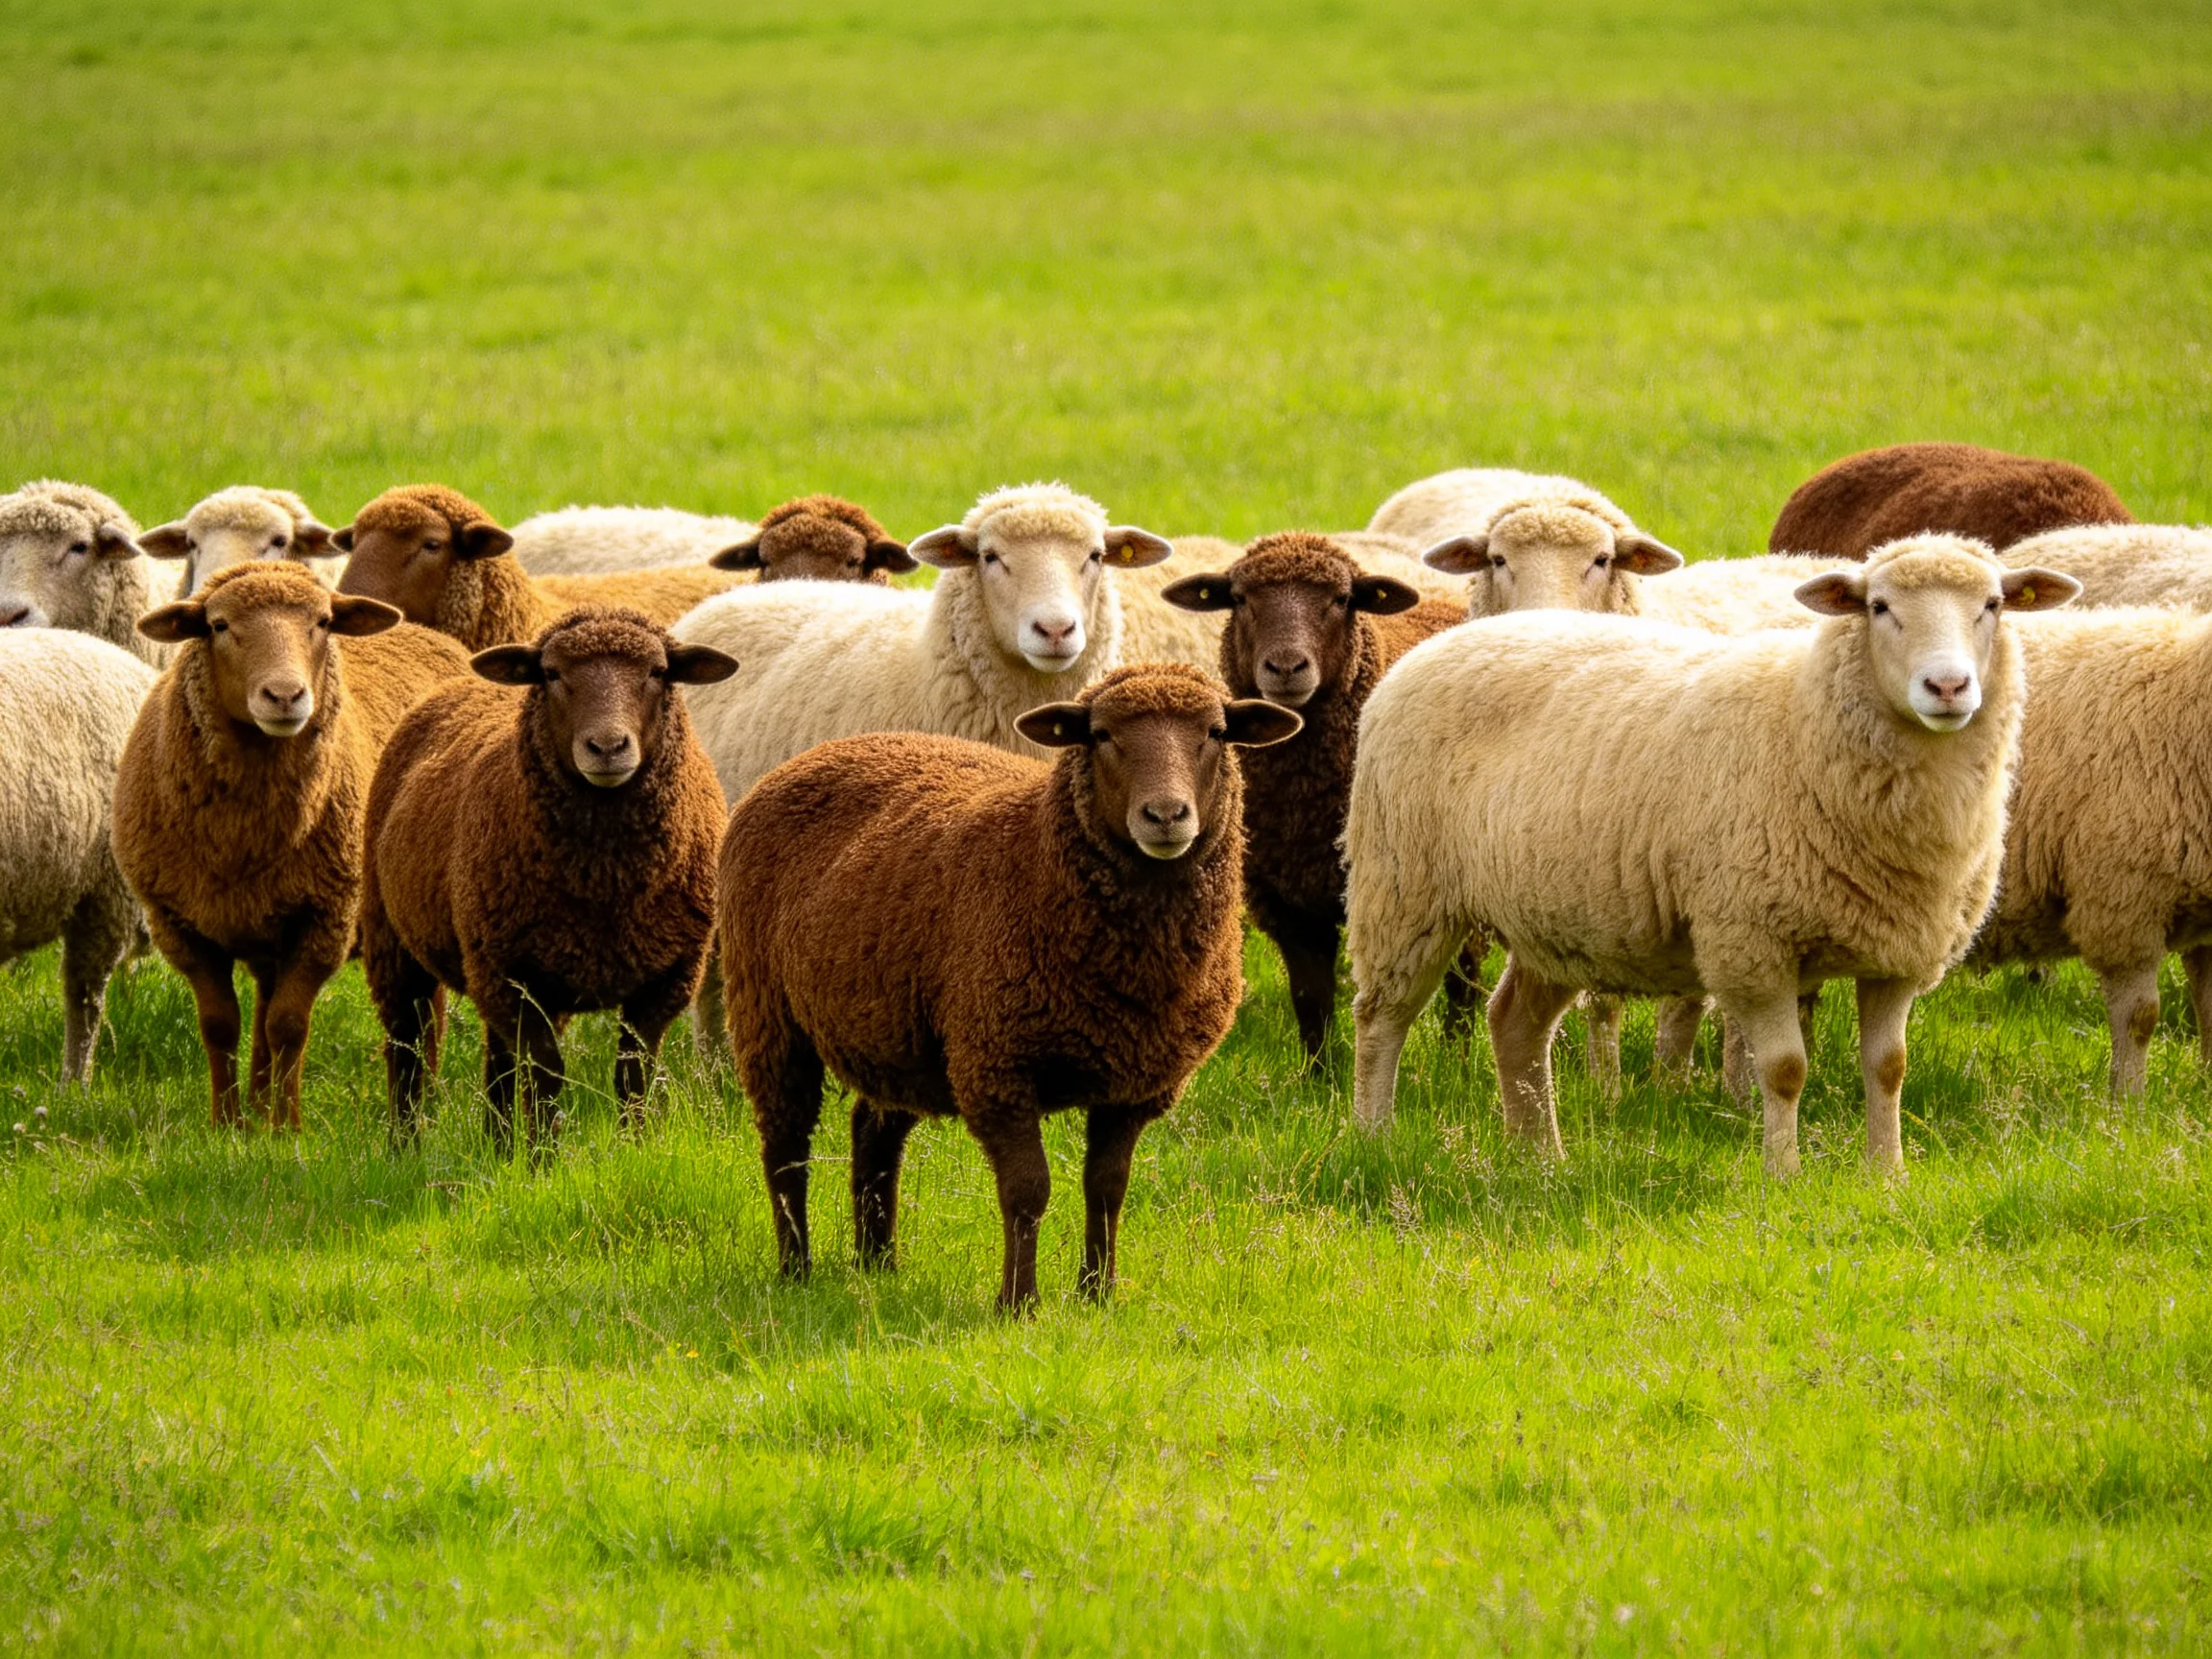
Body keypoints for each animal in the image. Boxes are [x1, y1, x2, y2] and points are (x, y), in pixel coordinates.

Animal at [111, 564, 475, 1129]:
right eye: (218, 625)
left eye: (323, 622)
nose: (284, 696)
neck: (241, 834)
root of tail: (429, 634)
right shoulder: (179, 925)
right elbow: (220, 1024)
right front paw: (228, 1125)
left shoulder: (326, 918)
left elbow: (288, 1024)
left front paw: (285, 1129)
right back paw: (259, 1102)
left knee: (424, 1011)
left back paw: (426, 1100)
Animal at [361, 608, 734, 1158]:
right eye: (553, 674)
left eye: (658, 672)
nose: (607, 747)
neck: (606, 881)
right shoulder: (512, 973)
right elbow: (546, 1072)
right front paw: (542, 1161)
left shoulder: (667, 977)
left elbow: (633, 1074)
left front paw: (632, 1149)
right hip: (397, 940)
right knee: (407, 1047)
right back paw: (405, 1147)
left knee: (497, 1064)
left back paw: (497, 1147)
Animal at [718, 663, 1300, 1307]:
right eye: (1100, 735)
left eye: (1217, 733)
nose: (1167, 816)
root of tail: (812, 755)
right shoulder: (997, 1066)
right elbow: (1028, 1190)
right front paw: (1019, 1302)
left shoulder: (1134, 1084)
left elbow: (1108, 1187)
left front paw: (1097, 1293)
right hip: (767, 1012)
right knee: (785, 1147)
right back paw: (796, 1268)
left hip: (897, 1030)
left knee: (872, 1131)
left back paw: (878, 1262)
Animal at [1158, 533, 1465, 1058]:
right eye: (1240, 599)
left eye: (1342, 600)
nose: (1286, 667)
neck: (1303, 795)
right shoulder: (1288, 900)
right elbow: (1311, 999)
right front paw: (1321, 1071)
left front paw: (1459, 1057)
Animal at [1344, 536, 2079, 1174]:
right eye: (1878, 607)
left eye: (1993, 604)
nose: (1948, 688)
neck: (1808, 722)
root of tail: (1445, 641)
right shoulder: (1752, 942)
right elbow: (1784, 1070)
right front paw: (1784, 1175)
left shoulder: (1899, 950)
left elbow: (1888, 1068)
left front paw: (1886, 1175)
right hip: (1403, 886)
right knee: (1382, 1018)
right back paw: (1374, 1136)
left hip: (1555, 914)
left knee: (1515, 1025)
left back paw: (1540, 1158)